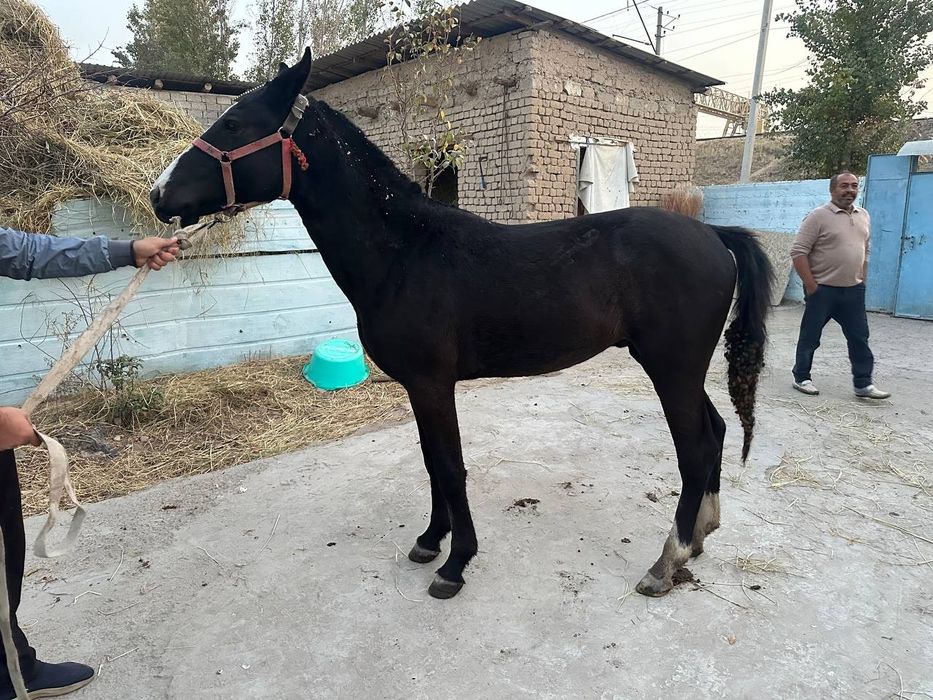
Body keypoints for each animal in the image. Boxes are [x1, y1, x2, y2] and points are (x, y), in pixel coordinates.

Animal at [150, 49, 774, 600]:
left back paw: (666, 561)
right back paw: (699, 537)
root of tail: (714, 234)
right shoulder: (417, 387)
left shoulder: (432, 383)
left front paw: (455, 564)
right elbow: (431, 462)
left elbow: (450, 467)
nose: (159, 195)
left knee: (695, 447)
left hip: (671, 368)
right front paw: (431, 540)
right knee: (717, 431)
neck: (405, 252)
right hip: (679, 369)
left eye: (234, 124)